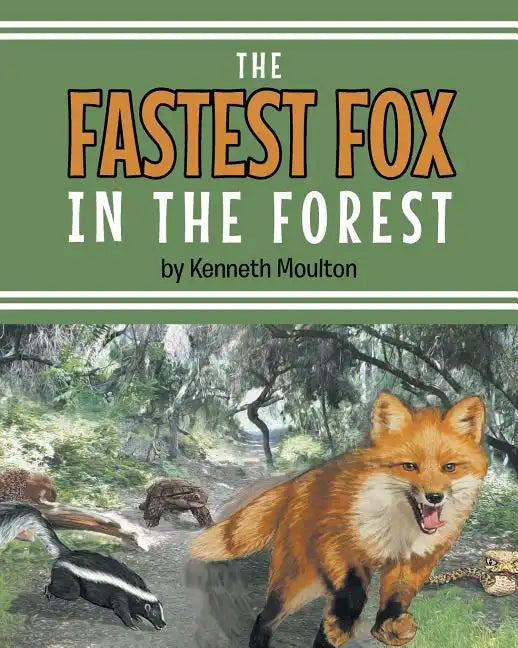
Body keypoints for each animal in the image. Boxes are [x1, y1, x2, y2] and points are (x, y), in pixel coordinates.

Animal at [190, 392, 488, 647]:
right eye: (409, 466)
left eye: (449, 467)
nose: (435, 497)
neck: (398, 528)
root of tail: (299, 481)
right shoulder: (338, 544)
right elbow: (353, 593)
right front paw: (344, 624)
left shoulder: (414, 562)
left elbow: (396, 598)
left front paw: (387, 626)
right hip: (300, 582)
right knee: (266, 617)